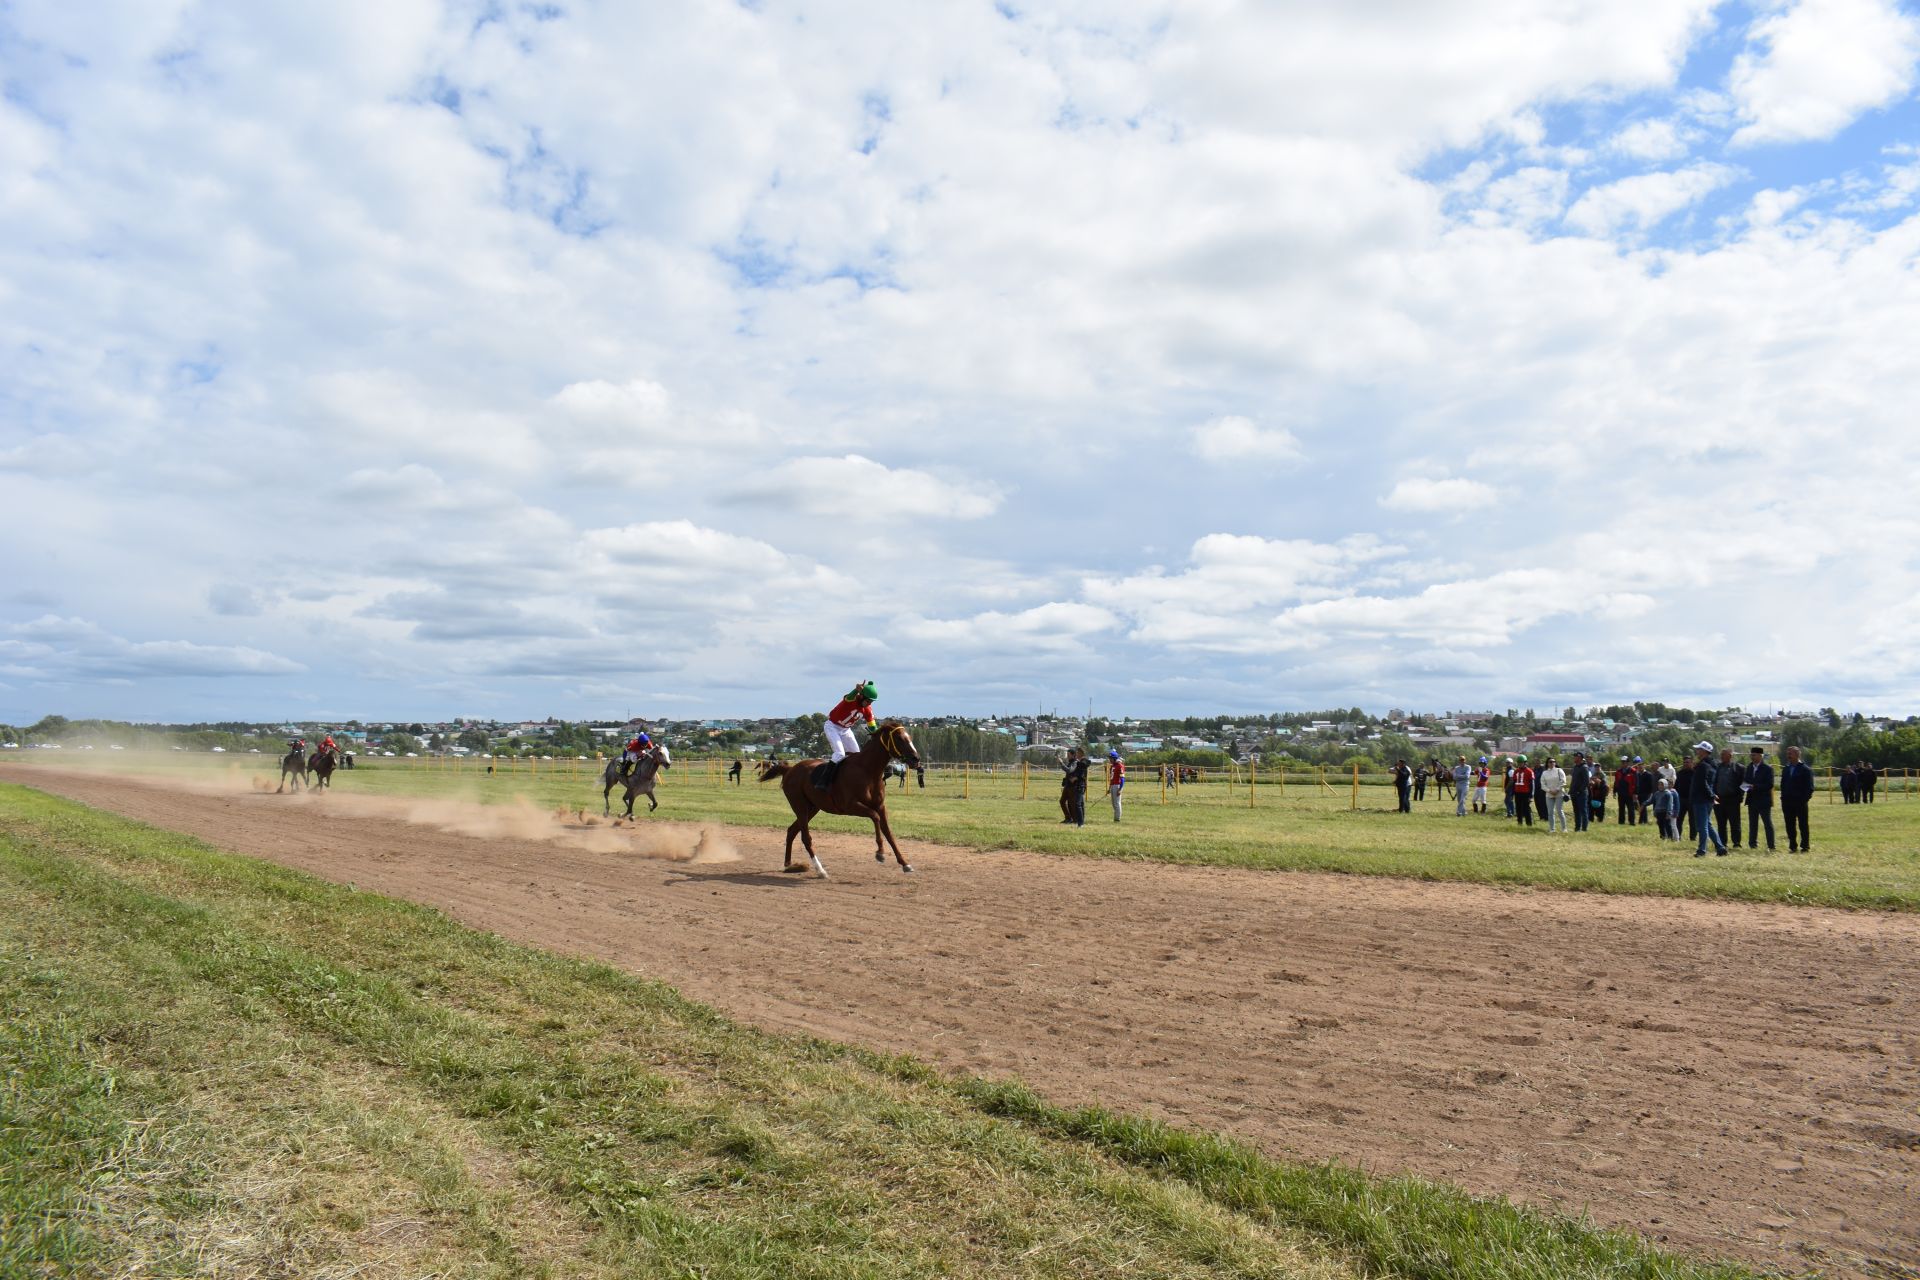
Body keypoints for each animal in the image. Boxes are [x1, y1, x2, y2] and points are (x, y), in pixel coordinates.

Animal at [756, 721, 921, 882]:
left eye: (909, 737)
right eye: (899, 738)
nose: (916, 759)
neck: (868, 771)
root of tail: (789, 769)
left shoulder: (880, 806)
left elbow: (888, 832)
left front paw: (905, 863)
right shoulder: (851, 806)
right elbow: (875, 817)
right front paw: (880, 853)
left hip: (812, 808)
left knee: (792, 830)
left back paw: (788, 864)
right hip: (800, 806)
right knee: (805, 837)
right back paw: (820, 870)